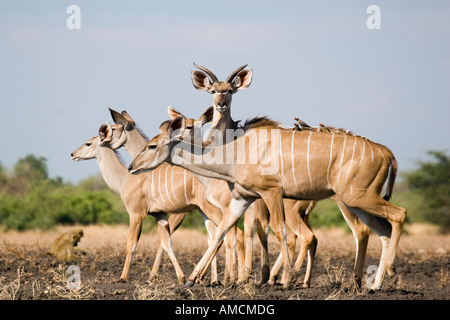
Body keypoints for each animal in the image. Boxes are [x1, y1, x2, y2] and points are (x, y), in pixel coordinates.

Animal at [72, 122, 230, 284]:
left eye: (88, 143)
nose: (72, 154)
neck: (125, 179)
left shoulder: (136, 214)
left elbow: (131, 243)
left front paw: (123, 277)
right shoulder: (159, 215)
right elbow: (166, 242)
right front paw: (180, 278)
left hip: (211, 208)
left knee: (227, 232)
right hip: (203, 210)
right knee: (217, 235)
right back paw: (206, 278)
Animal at [128, 110, 406, 290]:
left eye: (152, 146)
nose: (131, 167)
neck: (236, 152)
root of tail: (387, 153)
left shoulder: (271, 192)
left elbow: (279, 232)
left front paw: (286, 280)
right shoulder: (242, 199)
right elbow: (221, 233)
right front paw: (190, 280)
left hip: (358, 197)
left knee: (398, 215)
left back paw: (389, 273)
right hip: (356, 202)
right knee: (381, 231)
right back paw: (375, 284)